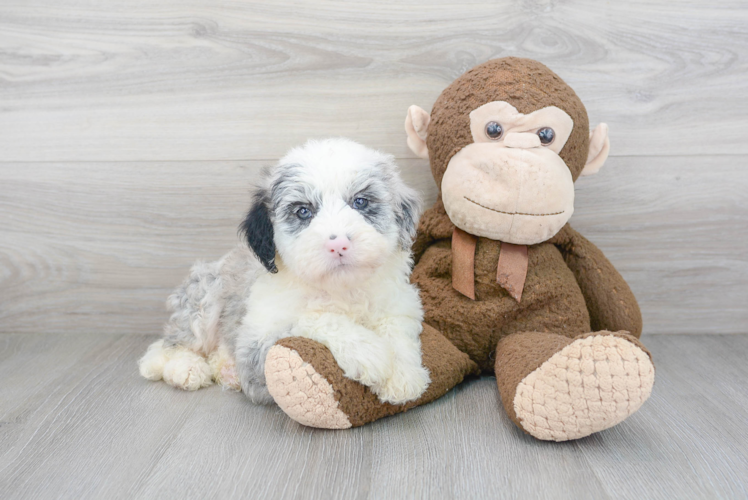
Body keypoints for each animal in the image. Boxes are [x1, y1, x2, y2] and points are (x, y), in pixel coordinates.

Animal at [138, 139, 430, 404]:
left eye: (360, 202)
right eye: (303, 211)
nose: (338, 244)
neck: (340, 289)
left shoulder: (400, 307)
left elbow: (398, 333)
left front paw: (404, 376)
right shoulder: (256, 342)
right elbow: (311, 319)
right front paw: (367, 351)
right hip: (204, 300)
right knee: (168, 345)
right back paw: (184, 369)